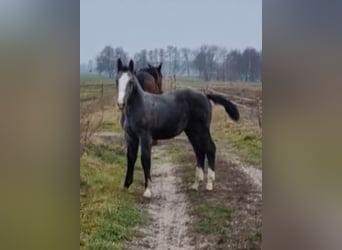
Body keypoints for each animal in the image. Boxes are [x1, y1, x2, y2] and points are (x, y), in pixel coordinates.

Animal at [116, 58, 239, 197]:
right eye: (117, 80)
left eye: (131, 82)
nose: (120, 103)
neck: (138, 106)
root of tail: (205, 95)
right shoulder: (130, 136)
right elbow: (130, 158)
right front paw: (126, 186)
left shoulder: (145, 136)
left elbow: (145, 159)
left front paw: (148, 190)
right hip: (192, 131)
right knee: (199, 150)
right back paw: (196, 184)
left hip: (202, 129)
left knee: (210, 148)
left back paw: (209, 184)